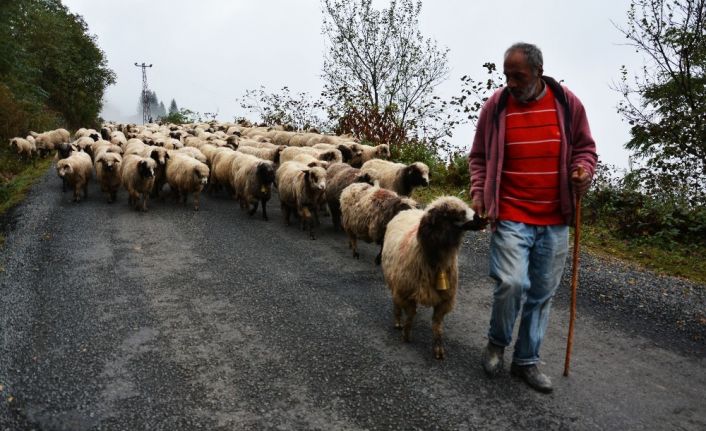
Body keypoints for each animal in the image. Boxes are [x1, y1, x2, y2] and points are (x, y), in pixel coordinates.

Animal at [380, 197, 484, 360]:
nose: (481, 219)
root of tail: (408, 210)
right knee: (395, 302)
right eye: (453, 214)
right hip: (394, 282)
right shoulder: (404, 293)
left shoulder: (445, 300)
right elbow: (411, 314)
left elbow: (437, 325)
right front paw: (406, 334)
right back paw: (397, 321)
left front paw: (438, 349)